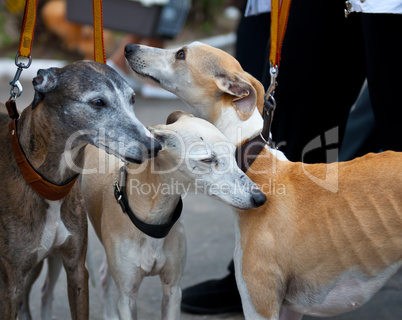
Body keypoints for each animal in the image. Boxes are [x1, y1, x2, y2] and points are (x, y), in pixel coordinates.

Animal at [0, 60, 160, 320]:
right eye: (98, 102)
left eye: (133, 99)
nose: (155, 146)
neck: (49, 186)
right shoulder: (11, 282)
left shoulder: (76, 269)